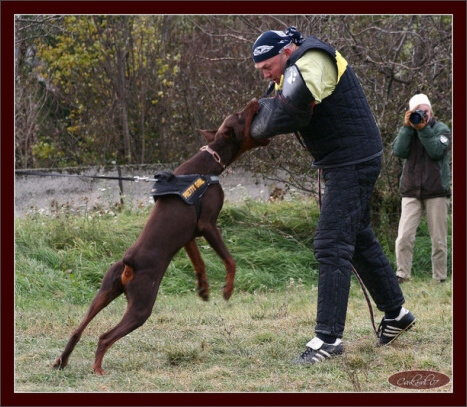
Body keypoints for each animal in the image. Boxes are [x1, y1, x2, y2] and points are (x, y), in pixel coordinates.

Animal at [52, 97, 268, 374]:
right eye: (242, 115)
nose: (254, 101)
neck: (210, 161)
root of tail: (129, 265)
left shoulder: (189, 234)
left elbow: (199, 262)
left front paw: (203, 289)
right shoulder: (207, 225)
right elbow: (230, 260)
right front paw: (227, 289)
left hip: (105, 291)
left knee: (78, 330)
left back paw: (62, 361)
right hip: (142, 305)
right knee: (104, 337)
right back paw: (98, 368)